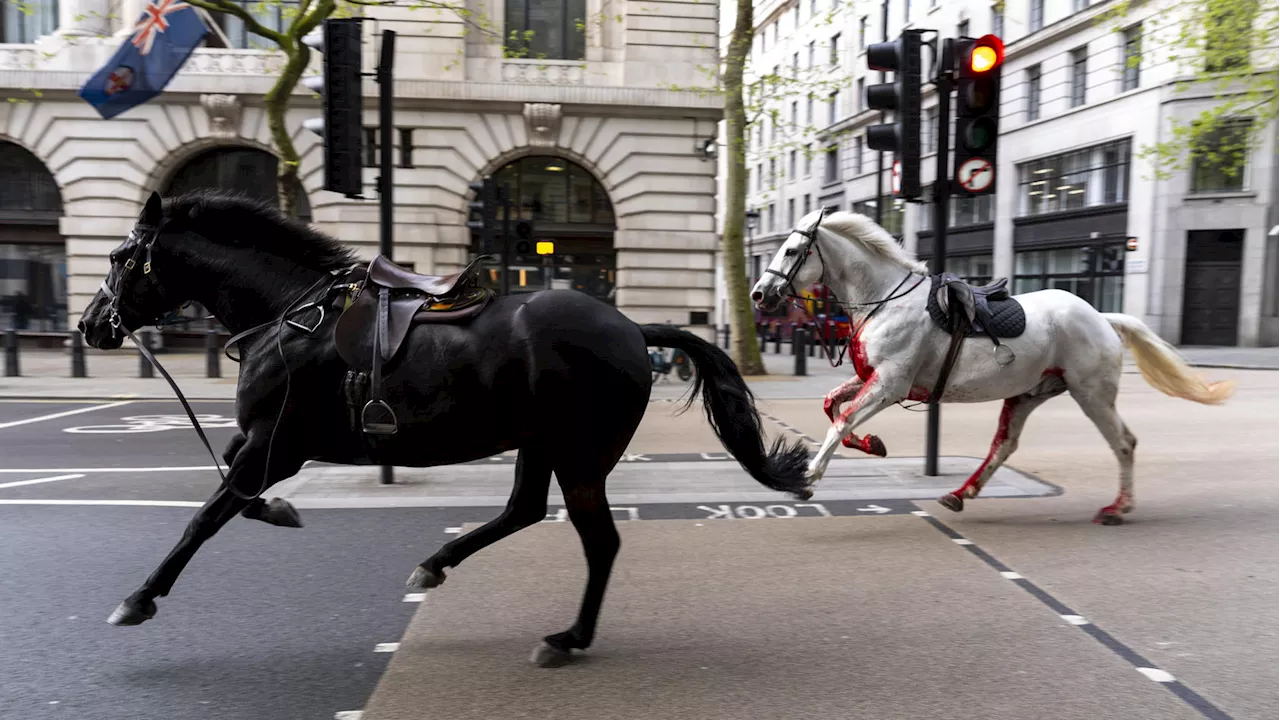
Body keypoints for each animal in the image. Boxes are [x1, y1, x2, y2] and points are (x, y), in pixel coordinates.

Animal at [77, 188, 808, 666]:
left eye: (118, 257)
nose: (87, 326)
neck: (289, 315)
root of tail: (632, 327)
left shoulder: (276, 444)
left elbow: (207, 515)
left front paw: (139, 598)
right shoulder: (263, 443)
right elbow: (235, 490)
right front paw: (282, 511)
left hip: (579, 455)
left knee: (599, 541)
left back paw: (567, 638)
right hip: (540, 444)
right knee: (523, 510)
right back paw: (436, 565)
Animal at [752, 207, 1233, 520]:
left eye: (792, 251)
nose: (759, 294)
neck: (885, 299)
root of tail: (1101, 316)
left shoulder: (890, 383)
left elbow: (842, 419)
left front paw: (808, 477)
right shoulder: (873, 378)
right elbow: (832, 405)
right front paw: (872, 444)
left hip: (1091, 393)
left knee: (1124, 443)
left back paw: (1119, 507)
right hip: (1029, 394)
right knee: (1005, 445)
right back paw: (961, 493)